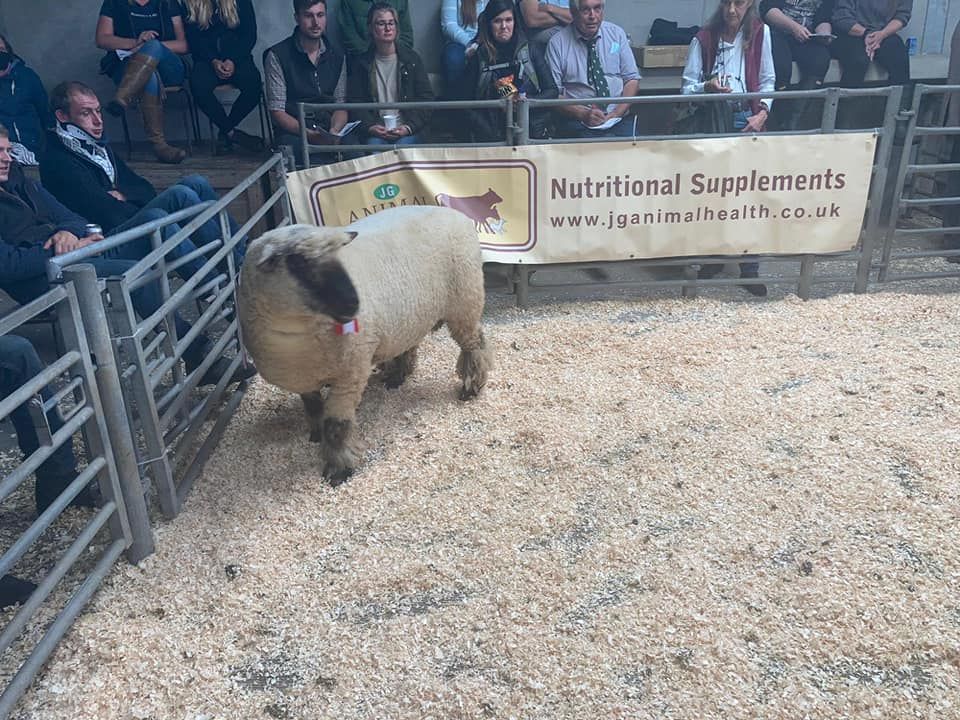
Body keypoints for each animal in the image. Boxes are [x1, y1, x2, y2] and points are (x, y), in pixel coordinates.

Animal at [238, 202, 496, 484]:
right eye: (298, 262)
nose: (354, 303)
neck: (295, 339)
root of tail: (452, 212)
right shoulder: (303, 378)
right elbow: (313, 408)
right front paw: (315, 435)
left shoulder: (349, 375)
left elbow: (336, 426)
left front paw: (339, 468)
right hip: (411, 314)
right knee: (409, 342)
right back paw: (397, 376)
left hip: (465, 301)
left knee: (474, 345)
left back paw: (471, 387)